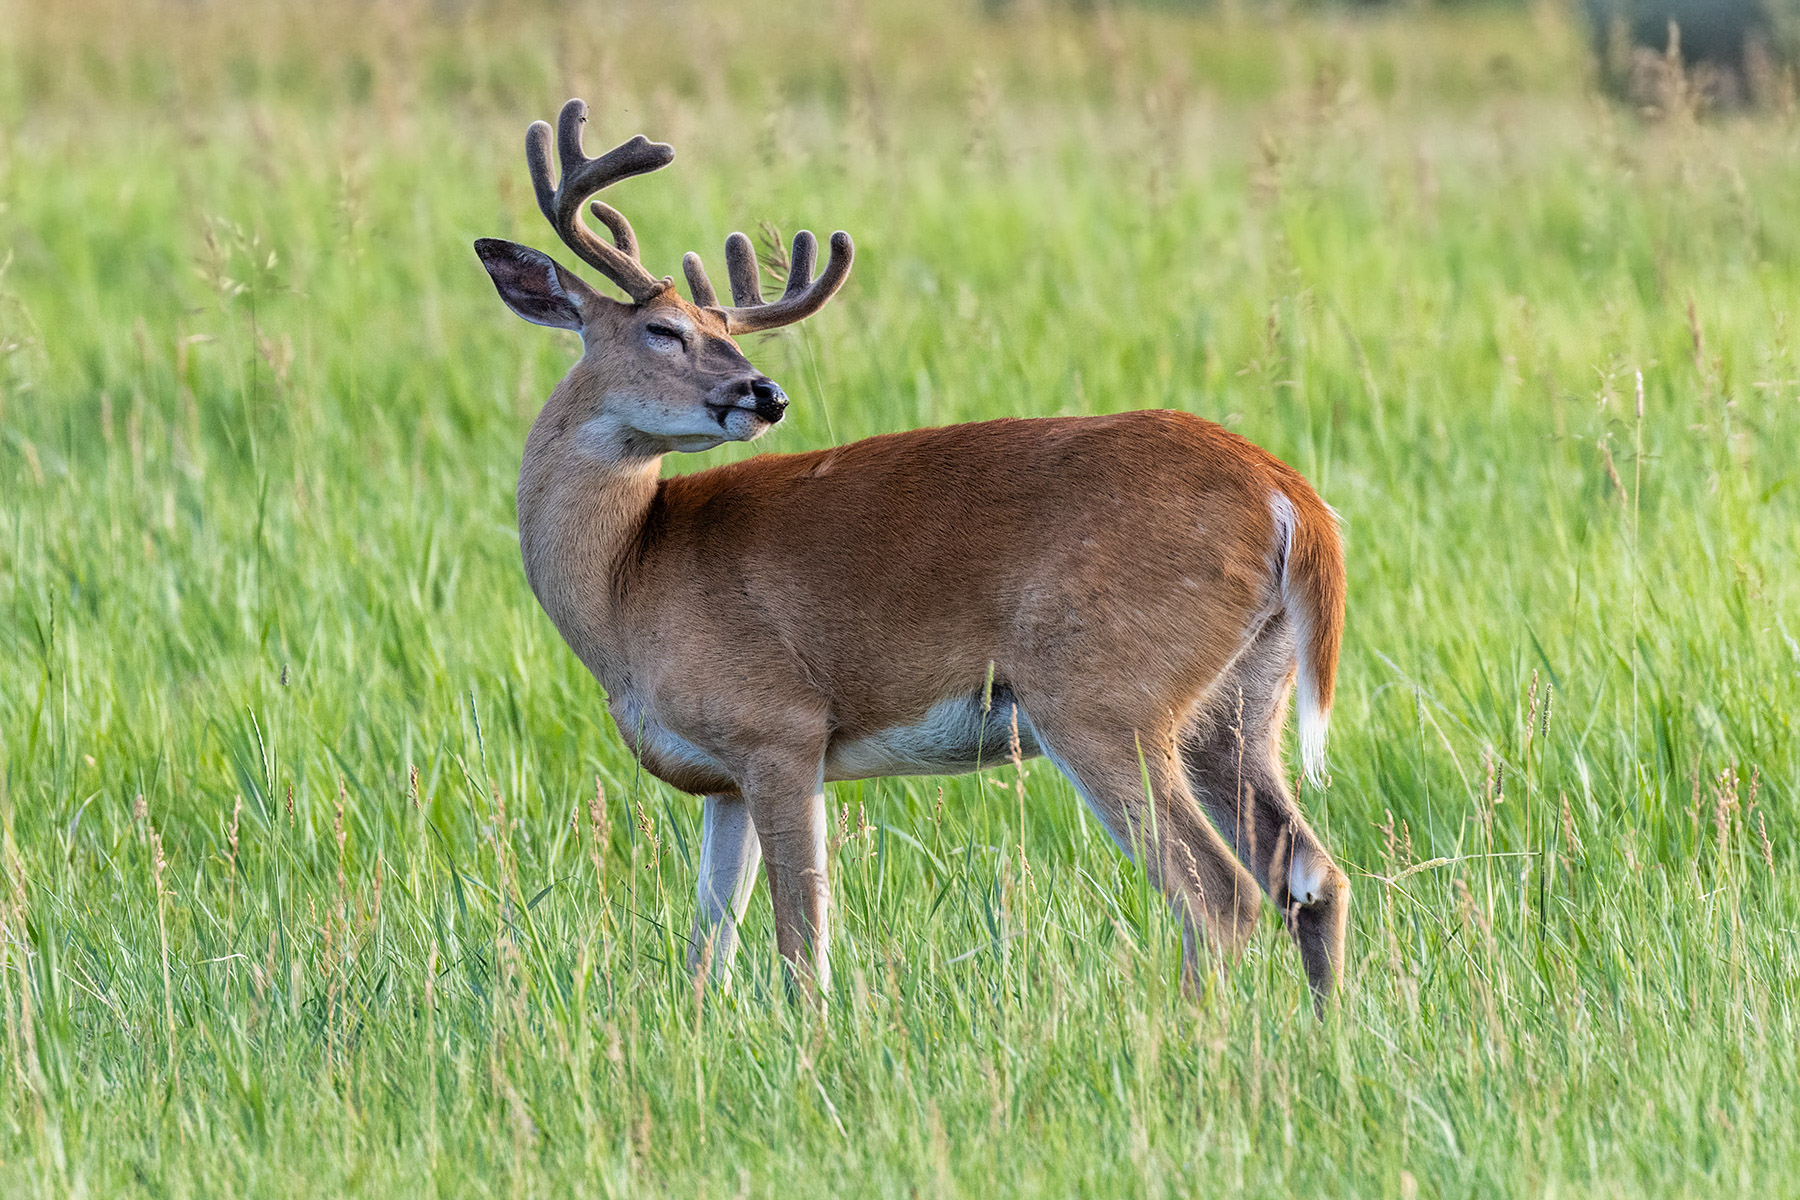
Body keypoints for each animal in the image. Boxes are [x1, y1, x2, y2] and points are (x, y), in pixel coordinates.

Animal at [474, 98, 1351, 1012]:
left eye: (718, 331)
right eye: (662, 329)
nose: (766, 393)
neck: (626, 578)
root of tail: (1290, 497)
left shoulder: (778, 725)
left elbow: (802, 942)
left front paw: (812, 1031)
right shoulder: (721, 777)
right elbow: (706, 948)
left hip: (1104, 692)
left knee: (1219, 895)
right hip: (1240, 700)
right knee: (1311, 876)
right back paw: (1323, 1031)